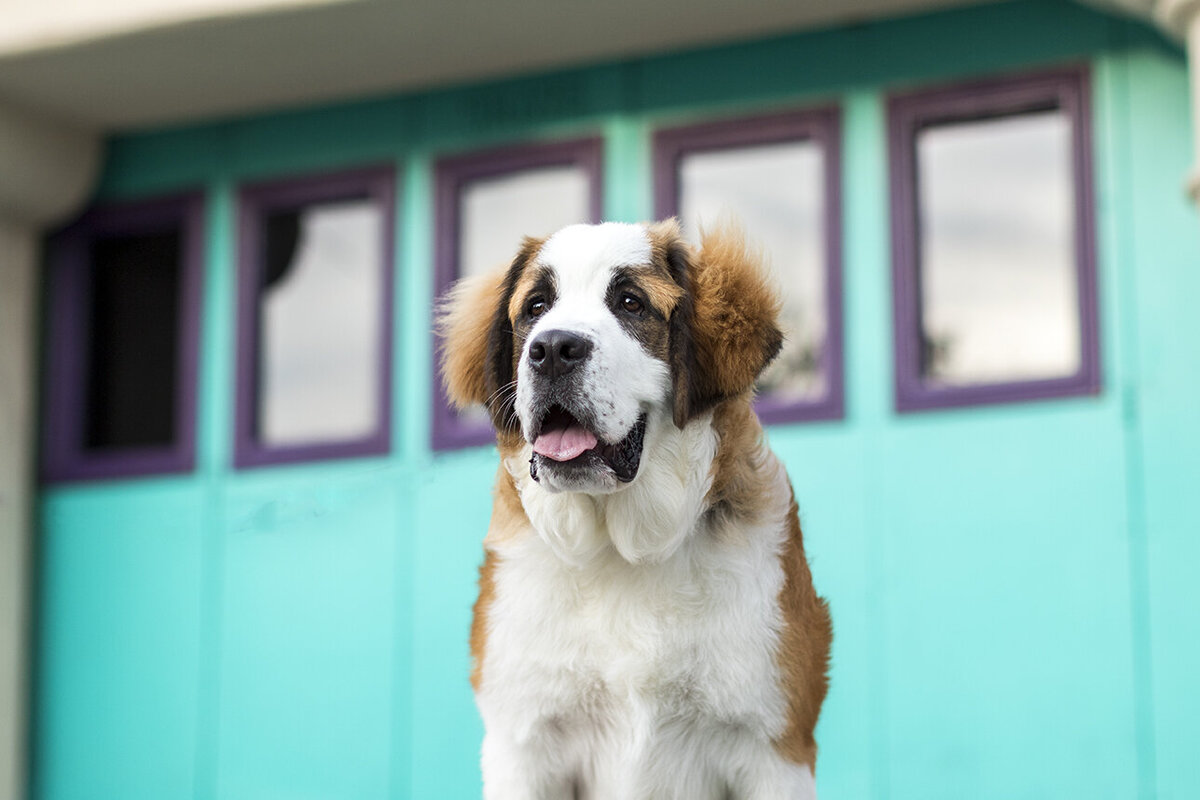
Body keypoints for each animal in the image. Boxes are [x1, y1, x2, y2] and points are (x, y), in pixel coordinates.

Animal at [444, 219, 835, 800]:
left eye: (630, 303)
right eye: (536, 307)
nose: (553, 348)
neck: (620, 550)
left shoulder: (772, 749)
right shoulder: (524, 744)